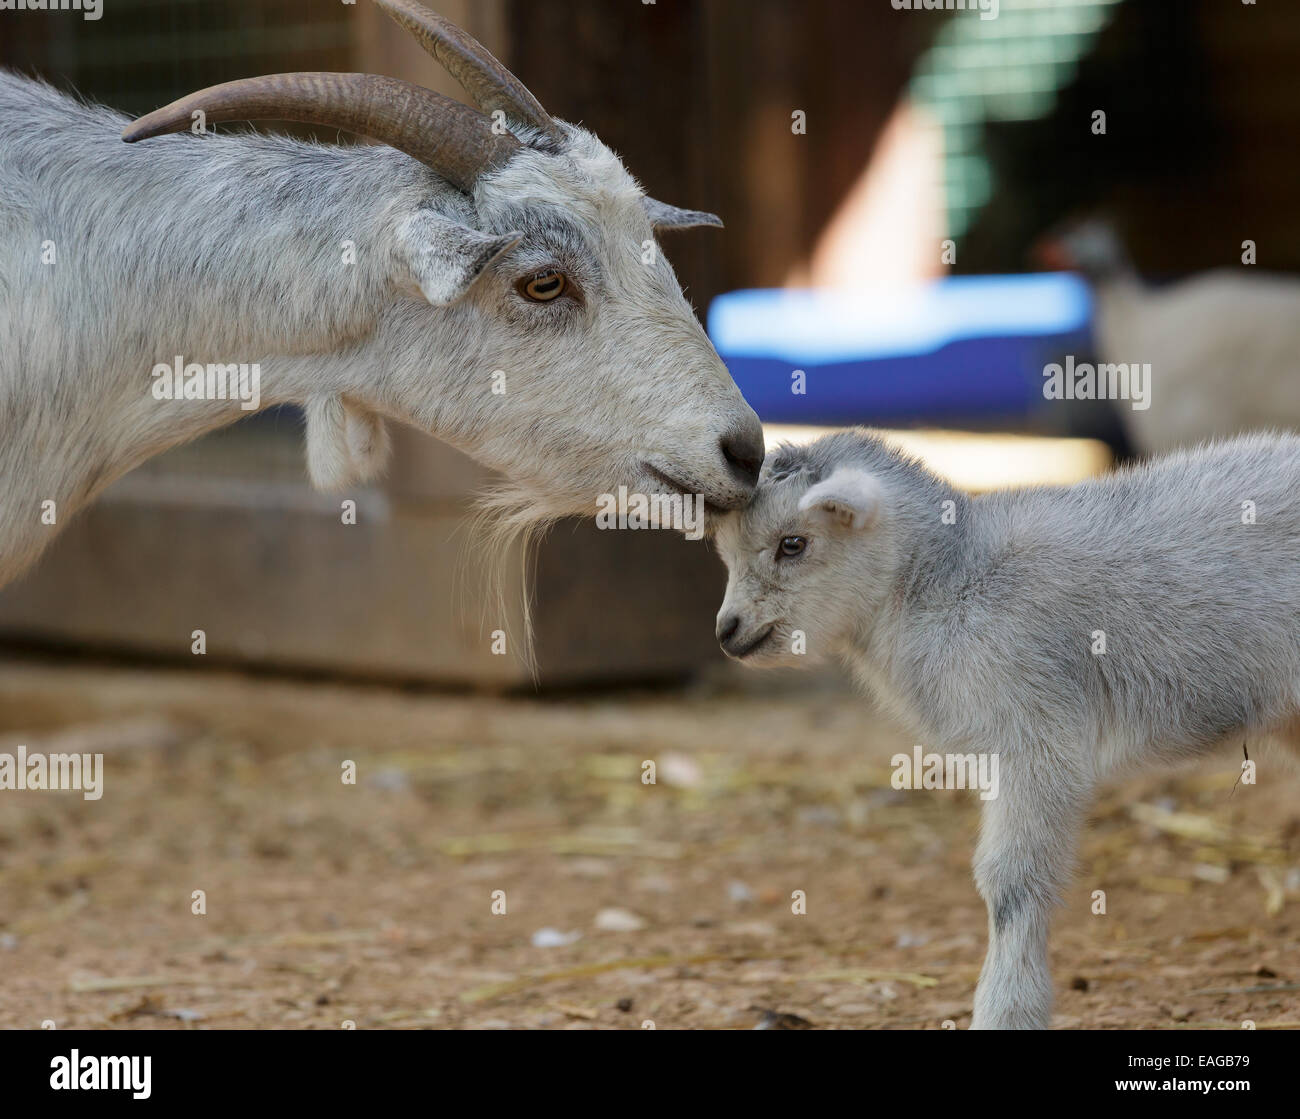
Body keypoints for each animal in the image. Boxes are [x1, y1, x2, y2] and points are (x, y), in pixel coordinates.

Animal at [712, 428, 1300, 1029]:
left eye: (793, 544)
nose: (727, 631)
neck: (947, 584)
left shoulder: (1036, 735)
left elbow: (1009, 883)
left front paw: (1007, 1010)